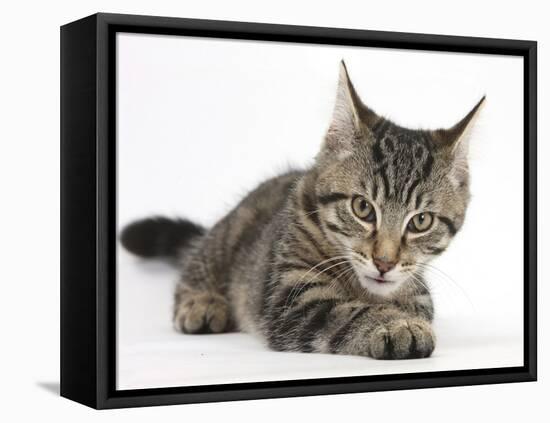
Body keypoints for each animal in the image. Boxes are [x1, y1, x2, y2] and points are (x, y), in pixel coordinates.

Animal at [121, 62, 484, 362]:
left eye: (421, 221)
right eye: (362, 208)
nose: (384, 262)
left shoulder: (420, 294)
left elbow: (414, 302)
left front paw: (403, 316)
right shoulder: (293, 299)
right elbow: (350, 312)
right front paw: (396, 325)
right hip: (228, 235)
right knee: (197, 261)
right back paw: (201, 302)